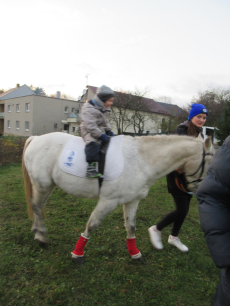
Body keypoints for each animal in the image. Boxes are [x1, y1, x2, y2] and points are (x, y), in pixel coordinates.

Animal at [22, 133, 213, 264]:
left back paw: (37, 232)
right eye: (209, 165)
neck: (141, 161)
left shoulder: (132, 200)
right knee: (36, 206)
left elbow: (131, 227)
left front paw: (135, 253)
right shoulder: (108, 201)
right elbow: (92, 225)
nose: (195, 192)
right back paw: (41, 237)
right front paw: (77, 254)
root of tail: (36, 138)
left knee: (37, 206)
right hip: (42, 184)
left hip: (47, 186)